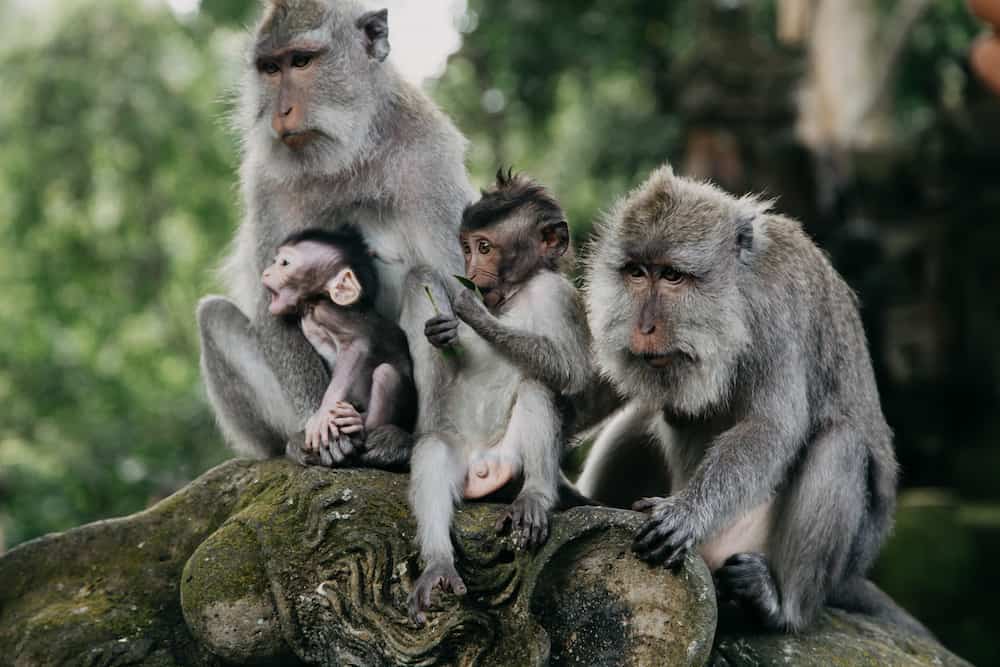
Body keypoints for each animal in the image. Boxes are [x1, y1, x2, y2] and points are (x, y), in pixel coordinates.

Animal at [264, 227, 416, 468]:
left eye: (284, 263)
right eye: (275, 261)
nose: (266, 273)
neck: (311, 305)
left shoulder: (329, 312)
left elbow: (356, 345)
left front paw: (323, 415)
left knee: (386, 373)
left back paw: (360, 424)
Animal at [406, 171, 592, 628]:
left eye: (486, 247)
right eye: (467, 247)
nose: (471, 268)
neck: (515, 294)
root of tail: (482, 466)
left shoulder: (560, 295)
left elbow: (572, 373)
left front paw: (475, 315)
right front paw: (439, 330)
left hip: (511, 458)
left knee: (538, 387)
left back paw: (536, 496)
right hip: (460, 456)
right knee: (434, 449)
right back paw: (438, 564)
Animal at [580, 164, 928, 636]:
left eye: (672, 276)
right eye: (637, 272)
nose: (644, 328)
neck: (737, 291)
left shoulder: (776, 316)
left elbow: (771, 428)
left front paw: (689, 512)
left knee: (841, 445)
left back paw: (781, 606)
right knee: (642, 415)